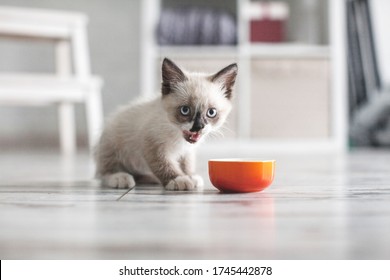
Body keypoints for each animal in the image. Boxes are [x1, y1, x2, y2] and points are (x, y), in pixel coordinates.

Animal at [94, 57, 238, 190]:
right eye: (185, 110)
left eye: (211, 112)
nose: (198, 127)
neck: (177, 136)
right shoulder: (153, 146)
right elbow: (164, 165)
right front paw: (179, 179)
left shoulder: (187, 151)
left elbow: (187, 164)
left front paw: (190, 176)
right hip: (111, 144)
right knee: (104, 173)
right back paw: (120, 178)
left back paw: (150, 178)